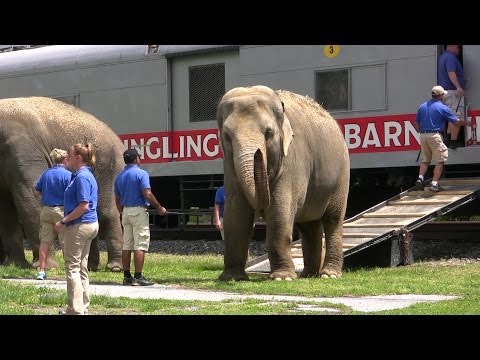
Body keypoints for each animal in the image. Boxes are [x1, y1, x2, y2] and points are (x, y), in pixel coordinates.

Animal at [0, 97, 125, 272]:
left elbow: (31, 196)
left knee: (106, 212)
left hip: (110, 168)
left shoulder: (24, 151)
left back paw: (115, 267)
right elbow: (6, 208)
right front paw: (13, 265)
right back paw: (90, 266)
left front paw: (45, 267)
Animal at [217, 85, 348, 282]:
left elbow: (280, 212)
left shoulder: (293, 158)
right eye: (226, 136)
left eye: (269, 133)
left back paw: (329, 275)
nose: (258, 153)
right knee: (309, 226)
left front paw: (282, 278)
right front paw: (232, 278)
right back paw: (308, 275)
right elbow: (235, 212)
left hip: (341, 175)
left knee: (333, 219)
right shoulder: (229, 165)